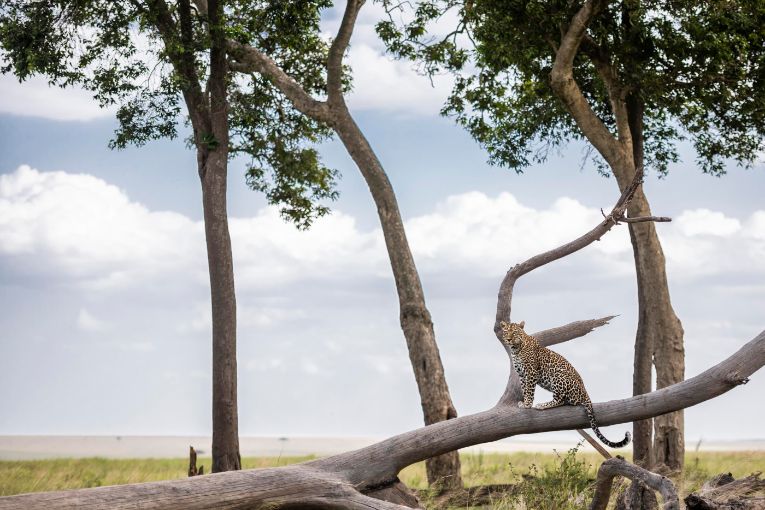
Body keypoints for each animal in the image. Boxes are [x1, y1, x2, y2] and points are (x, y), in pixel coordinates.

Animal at [499, 320, 630, 448]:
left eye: (514, 332)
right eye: (506, 332)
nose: (509, 339)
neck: (516, 349)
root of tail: (585, 393)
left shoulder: (531, 372)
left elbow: (530, 390)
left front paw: (527, 404)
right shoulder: (521, 375)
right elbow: (524, 389)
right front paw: (524, 402)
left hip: (558, 375)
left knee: (561, 400)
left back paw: (542, 405)